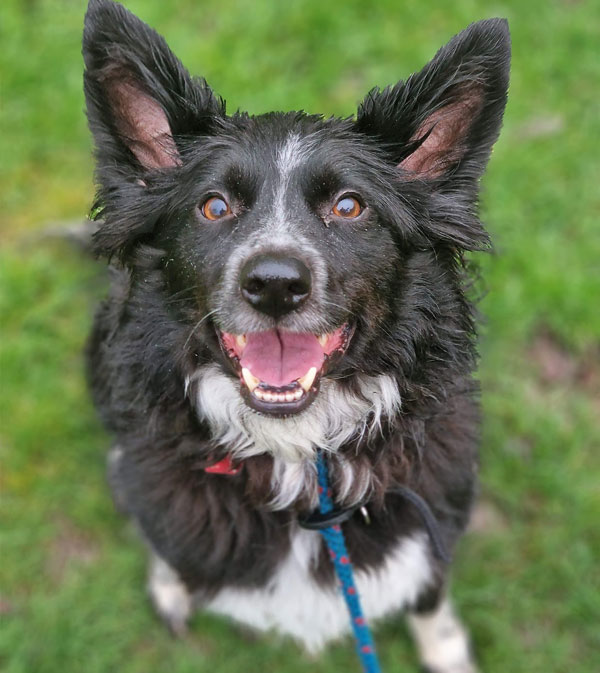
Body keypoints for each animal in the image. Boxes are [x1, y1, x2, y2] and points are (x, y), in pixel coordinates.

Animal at [81, 2, 510, 668]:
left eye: (350, 206)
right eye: (213, 206)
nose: (276, 285)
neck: (299, 458)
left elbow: (430, 594)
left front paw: (446, 652)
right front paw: (171, 581)